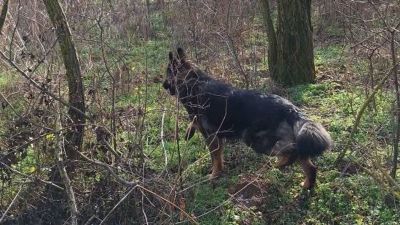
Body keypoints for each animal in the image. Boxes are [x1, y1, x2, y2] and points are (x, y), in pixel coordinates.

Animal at [162, 48, 332, 189]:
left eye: (168, 73)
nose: (163, 85)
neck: (194, 84)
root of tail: (290, 108)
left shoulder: (211, 137)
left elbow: (215, 159)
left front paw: (214, 175)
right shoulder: (216, 137)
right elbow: (217, 157)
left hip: (255, 141)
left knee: (293, 150)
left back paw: (282, 164)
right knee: (308, 163)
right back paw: (306, 185)